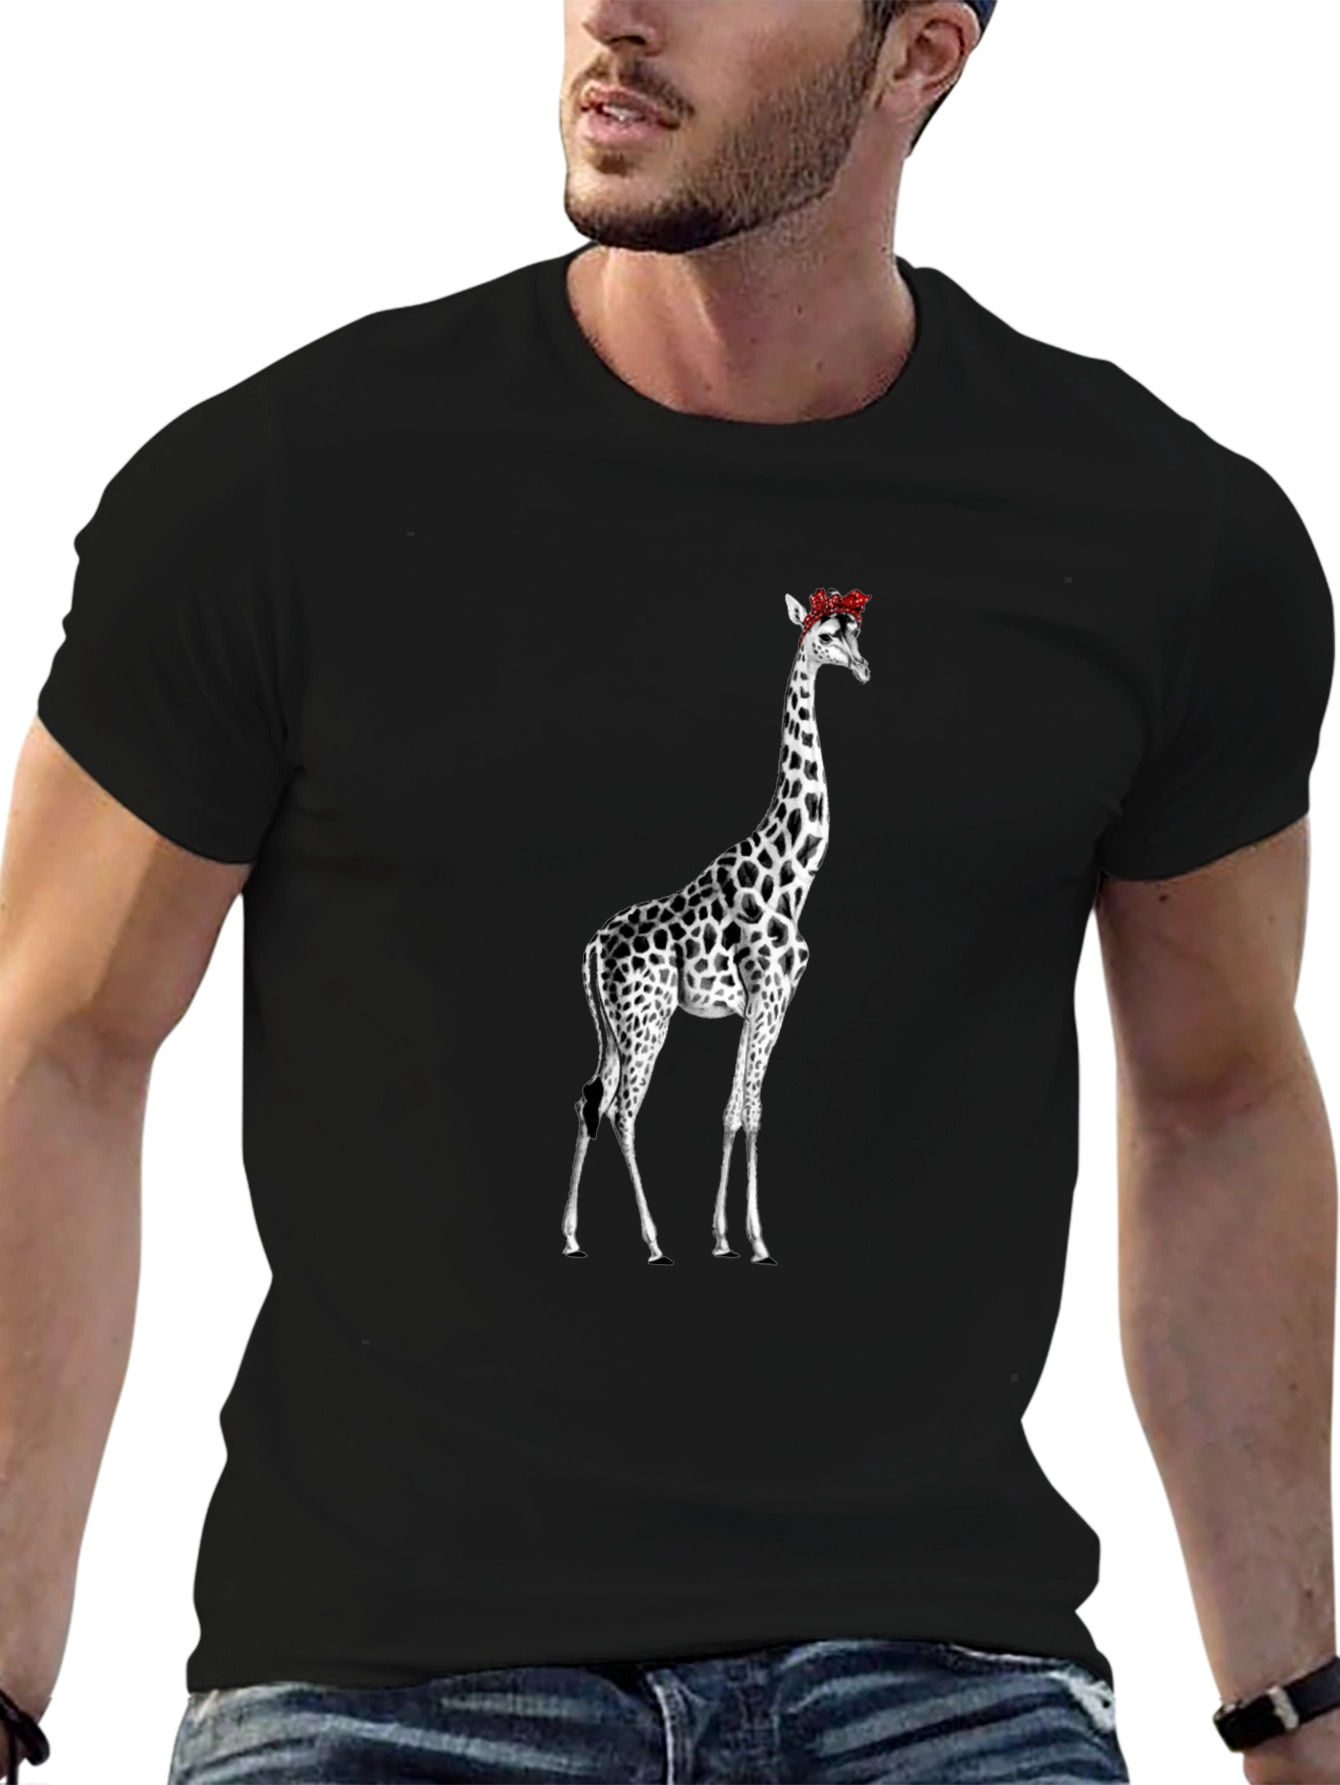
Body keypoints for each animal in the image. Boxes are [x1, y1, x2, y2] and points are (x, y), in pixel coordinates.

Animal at [562, 588, 870, 1264]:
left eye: (857, 632)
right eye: (825, 636)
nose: (864, 669)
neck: (792, 873)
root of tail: (594, 946)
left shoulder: (759, 1004)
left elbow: (732, 1109)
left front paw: (724, 1235)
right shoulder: (772, 996)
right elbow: (751, 1109)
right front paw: (756, 1238)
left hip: (613, 1028)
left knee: (590, 1098)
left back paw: (570, 1235)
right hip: (647, 1019)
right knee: (623, 1111)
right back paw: (653, 1241)